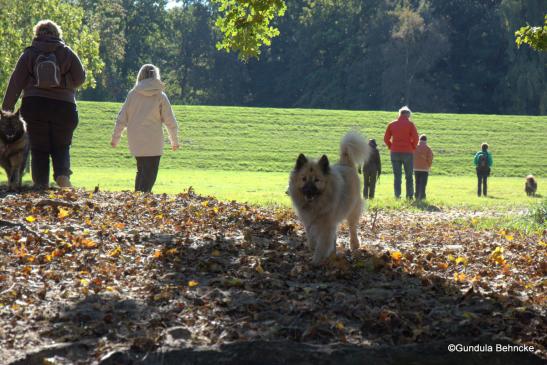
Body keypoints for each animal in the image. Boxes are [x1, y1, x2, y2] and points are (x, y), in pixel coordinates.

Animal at [288, 132, 370, 264]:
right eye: (304, 179)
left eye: (317, 180)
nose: (308, 192)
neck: (317, 204)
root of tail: (345, 163)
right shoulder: (310, 223)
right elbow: (312, 240)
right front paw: (315, 251)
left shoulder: (326, 226)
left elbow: (322, 245)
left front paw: (316, 261)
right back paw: (333, 253)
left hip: (352, 210)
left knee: (352, 228)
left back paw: (354, 245)